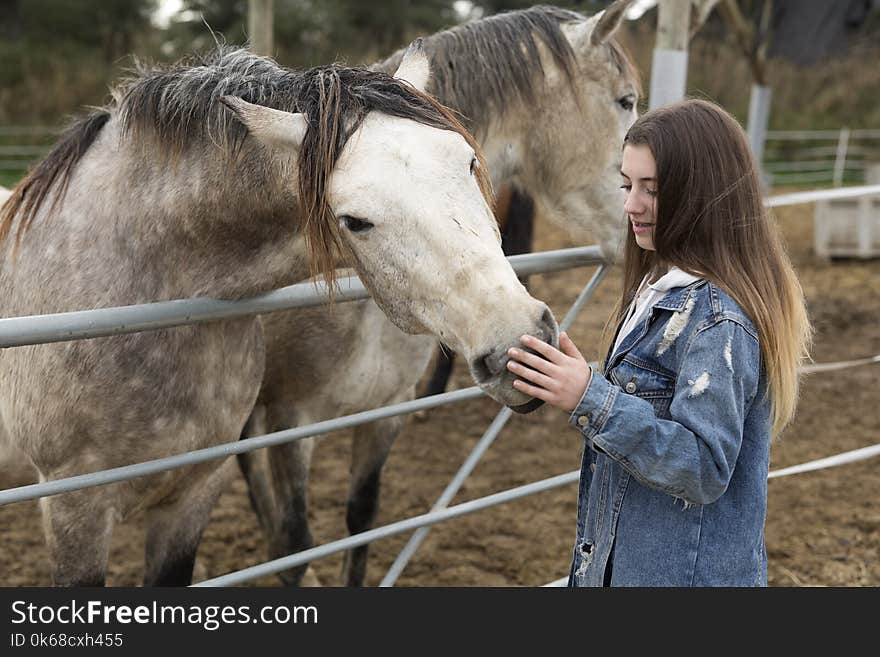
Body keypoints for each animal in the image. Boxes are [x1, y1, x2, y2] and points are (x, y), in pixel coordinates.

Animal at [241, 0, 640, 584]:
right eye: (626, 100)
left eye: (471, 164)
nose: (520, 348)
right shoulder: (287, 421)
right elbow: (297, 536)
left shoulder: (386, 410)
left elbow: (361, 520)